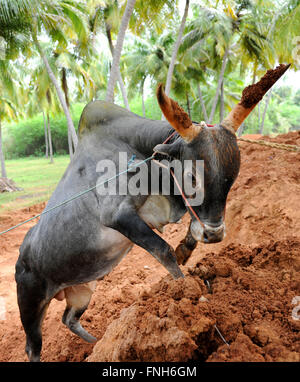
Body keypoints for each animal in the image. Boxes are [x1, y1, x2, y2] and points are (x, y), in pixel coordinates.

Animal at [15, 65, 290, 362]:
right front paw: (192, 295)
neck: (141, 156)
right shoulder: (119, 217)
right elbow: (163, 251)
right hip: (30, 304)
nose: (216, 234)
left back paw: (97, 344)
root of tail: (21, 256)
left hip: (82, 292)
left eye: (232, 177)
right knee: (32, 346)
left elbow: (189, 233)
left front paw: (186, 250)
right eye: (192, 177)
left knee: (69, 319)